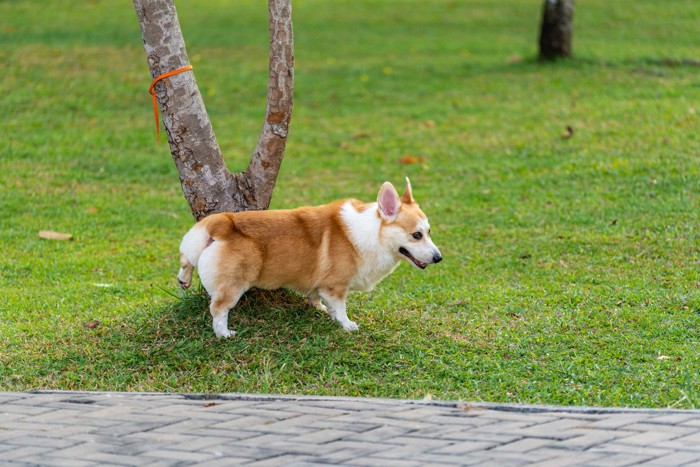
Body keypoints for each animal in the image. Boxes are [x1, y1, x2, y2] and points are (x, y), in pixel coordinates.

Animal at [178, 178, 440, 336]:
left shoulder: (320, 284)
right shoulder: (336, 286)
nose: (438, 258)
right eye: (416, 235)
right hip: (234, 285)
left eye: (429, 232)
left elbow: (317, 298)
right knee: (218, 308)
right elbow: (341, 307)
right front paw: (347, 324)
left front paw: (321, 309)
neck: (373, 233)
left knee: (186, 259)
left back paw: (184, 278)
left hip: (194, 246)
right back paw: (224, 334)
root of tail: (221, 223)